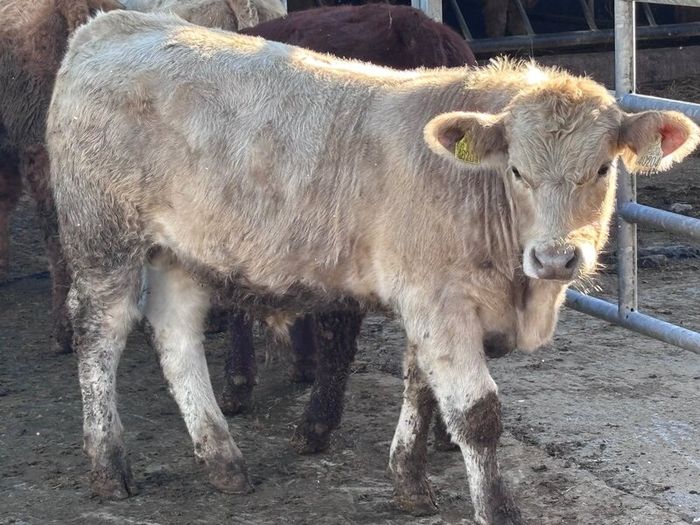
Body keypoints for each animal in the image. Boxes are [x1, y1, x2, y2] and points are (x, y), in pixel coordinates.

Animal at [47, 11, 699, 523]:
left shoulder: (426, 299)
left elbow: (420, 386)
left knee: (176, 333)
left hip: (180, 247)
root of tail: (114, 24)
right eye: (517, 171)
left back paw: (223, 461)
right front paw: (498, 510)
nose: (556, 256)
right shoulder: (439, 299)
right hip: (102, 236)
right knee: (101, 331)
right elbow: (477, 414)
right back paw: (107, 464)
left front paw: (408, 480)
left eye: (603, 168)